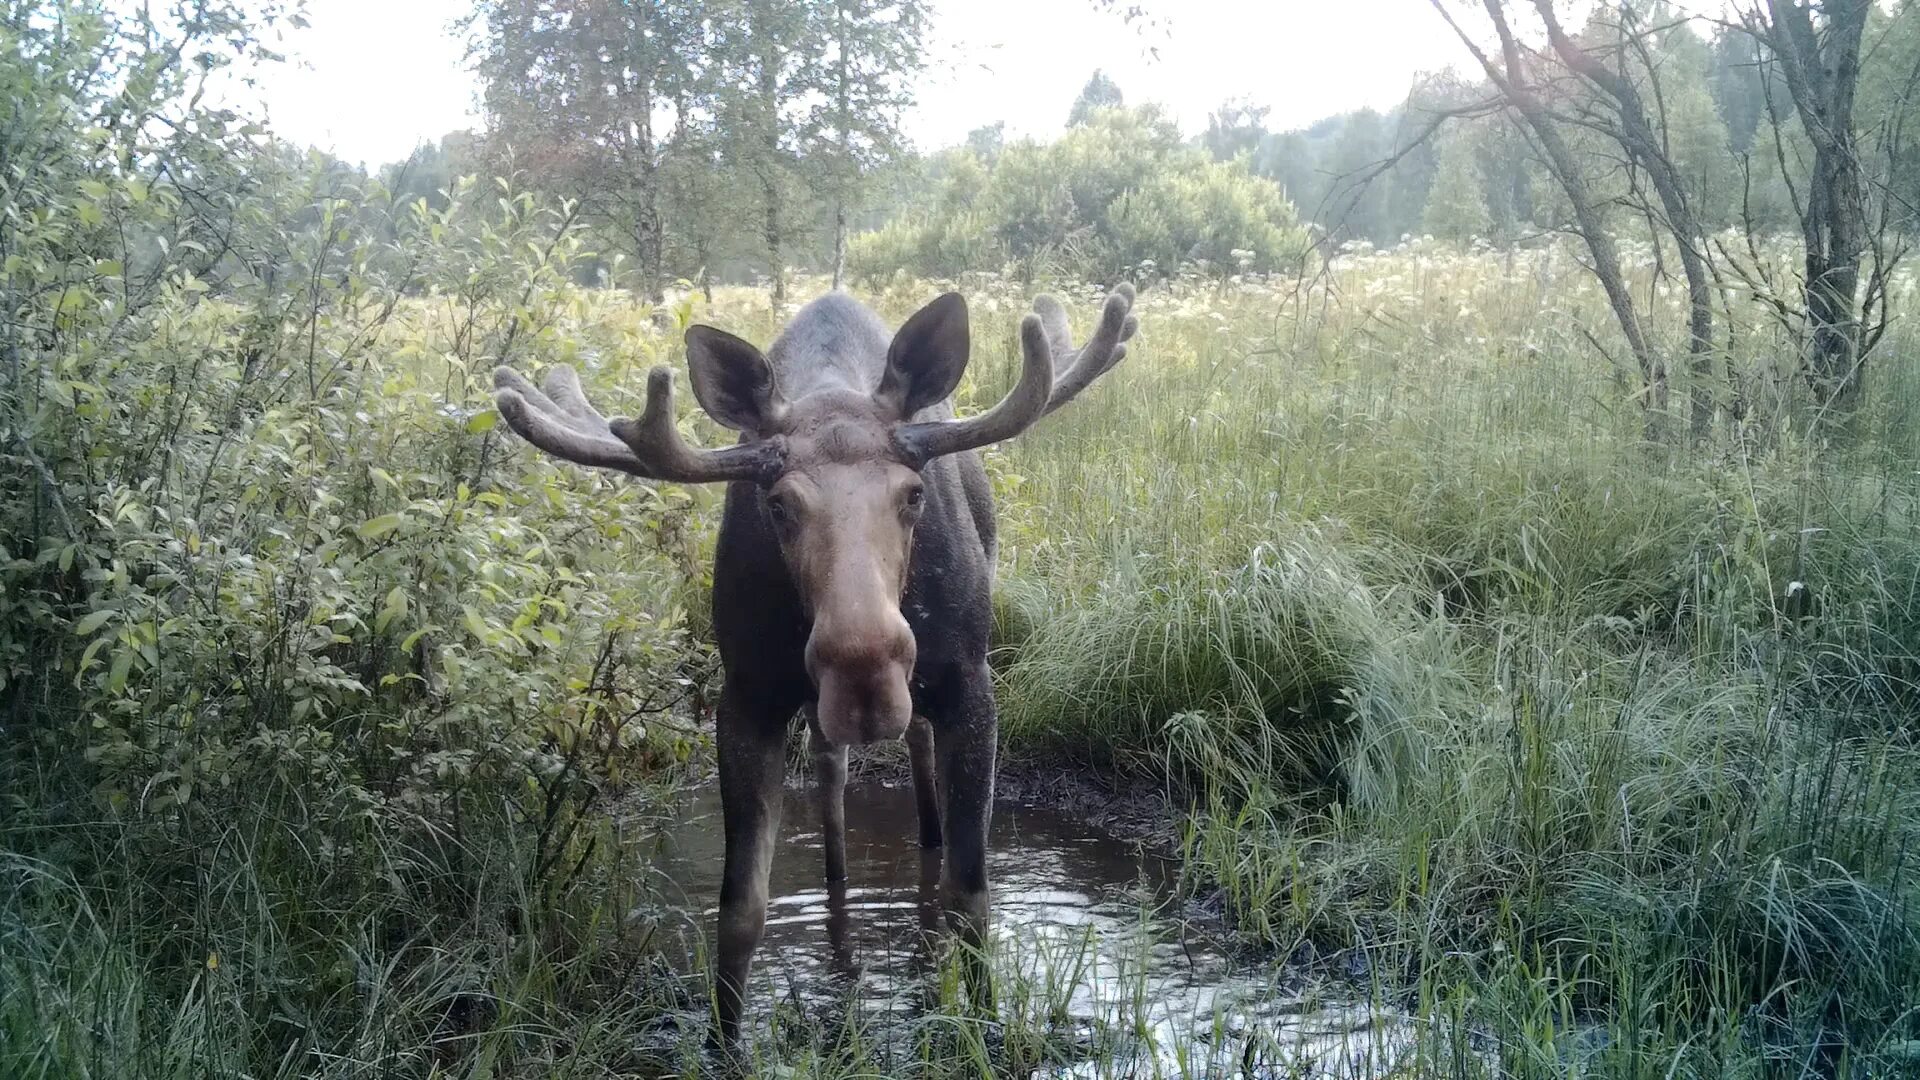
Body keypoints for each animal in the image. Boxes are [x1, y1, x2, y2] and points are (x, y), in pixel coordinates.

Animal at [487, 282, 1136, 1037]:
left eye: (913, 494)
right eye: (778, 504)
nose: (865, 673)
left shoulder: (968, 678)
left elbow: (970, 893)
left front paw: (983, 1025)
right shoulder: (747, 695)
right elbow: (740, 908)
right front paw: (725, 1038)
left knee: (918, 755)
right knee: (831, 776)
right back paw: (837, 874)